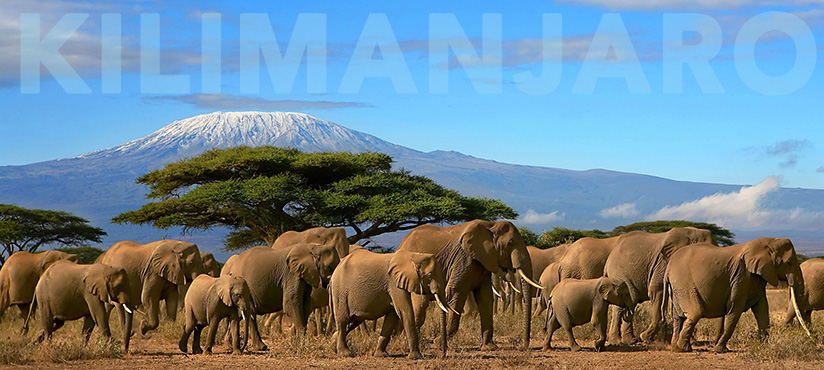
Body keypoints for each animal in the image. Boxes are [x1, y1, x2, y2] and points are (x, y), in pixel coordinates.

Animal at [328, 249, 458, 358]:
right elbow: (405, 311)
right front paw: (416, 357)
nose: (443, 354)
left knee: (353, 322)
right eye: (430, 275)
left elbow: (392, 317)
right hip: (340, 292)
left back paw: (333, 347)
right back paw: (345, 353)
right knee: (343, 321)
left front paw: (381, 355)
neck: (413, 256)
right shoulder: (394, 284)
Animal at [392, 220, 540, 350]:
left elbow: (485, 298)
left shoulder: (483, 262)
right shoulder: (464, 259)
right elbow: (456, 292)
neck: (491, 225)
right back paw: (404, 343)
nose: (524, 346)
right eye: (510, 243)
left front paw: (489, 347)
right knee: (420, 305)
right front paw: (438, 343)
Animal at [664, 237, 804, 352]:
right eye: (789, 262)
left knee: (678, 317)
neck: (768, 242)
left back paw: (677, 348)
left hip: (676, 287)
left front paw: (765, 348)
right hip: (683, 283)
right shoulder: (741, 276)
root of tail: (668, 268)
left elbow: (762, 309)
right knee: (695, 313)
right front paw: (720, 350)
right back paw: (682, 348)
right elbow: (735, 308)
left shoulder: (757, 278)